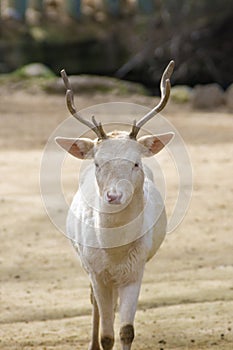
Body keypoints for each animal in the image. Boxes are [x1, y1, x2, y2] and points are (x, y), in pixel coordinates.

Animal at [55, 60, 175, 350]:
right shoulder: (96, 270)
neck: (115, 252)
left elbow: (126, 331)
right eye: (98, 163)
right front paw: (97, 342)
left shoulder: (136, 270)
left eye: (136, 163)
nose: (113, 196)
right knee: (94, 303)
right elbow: (106, 335)